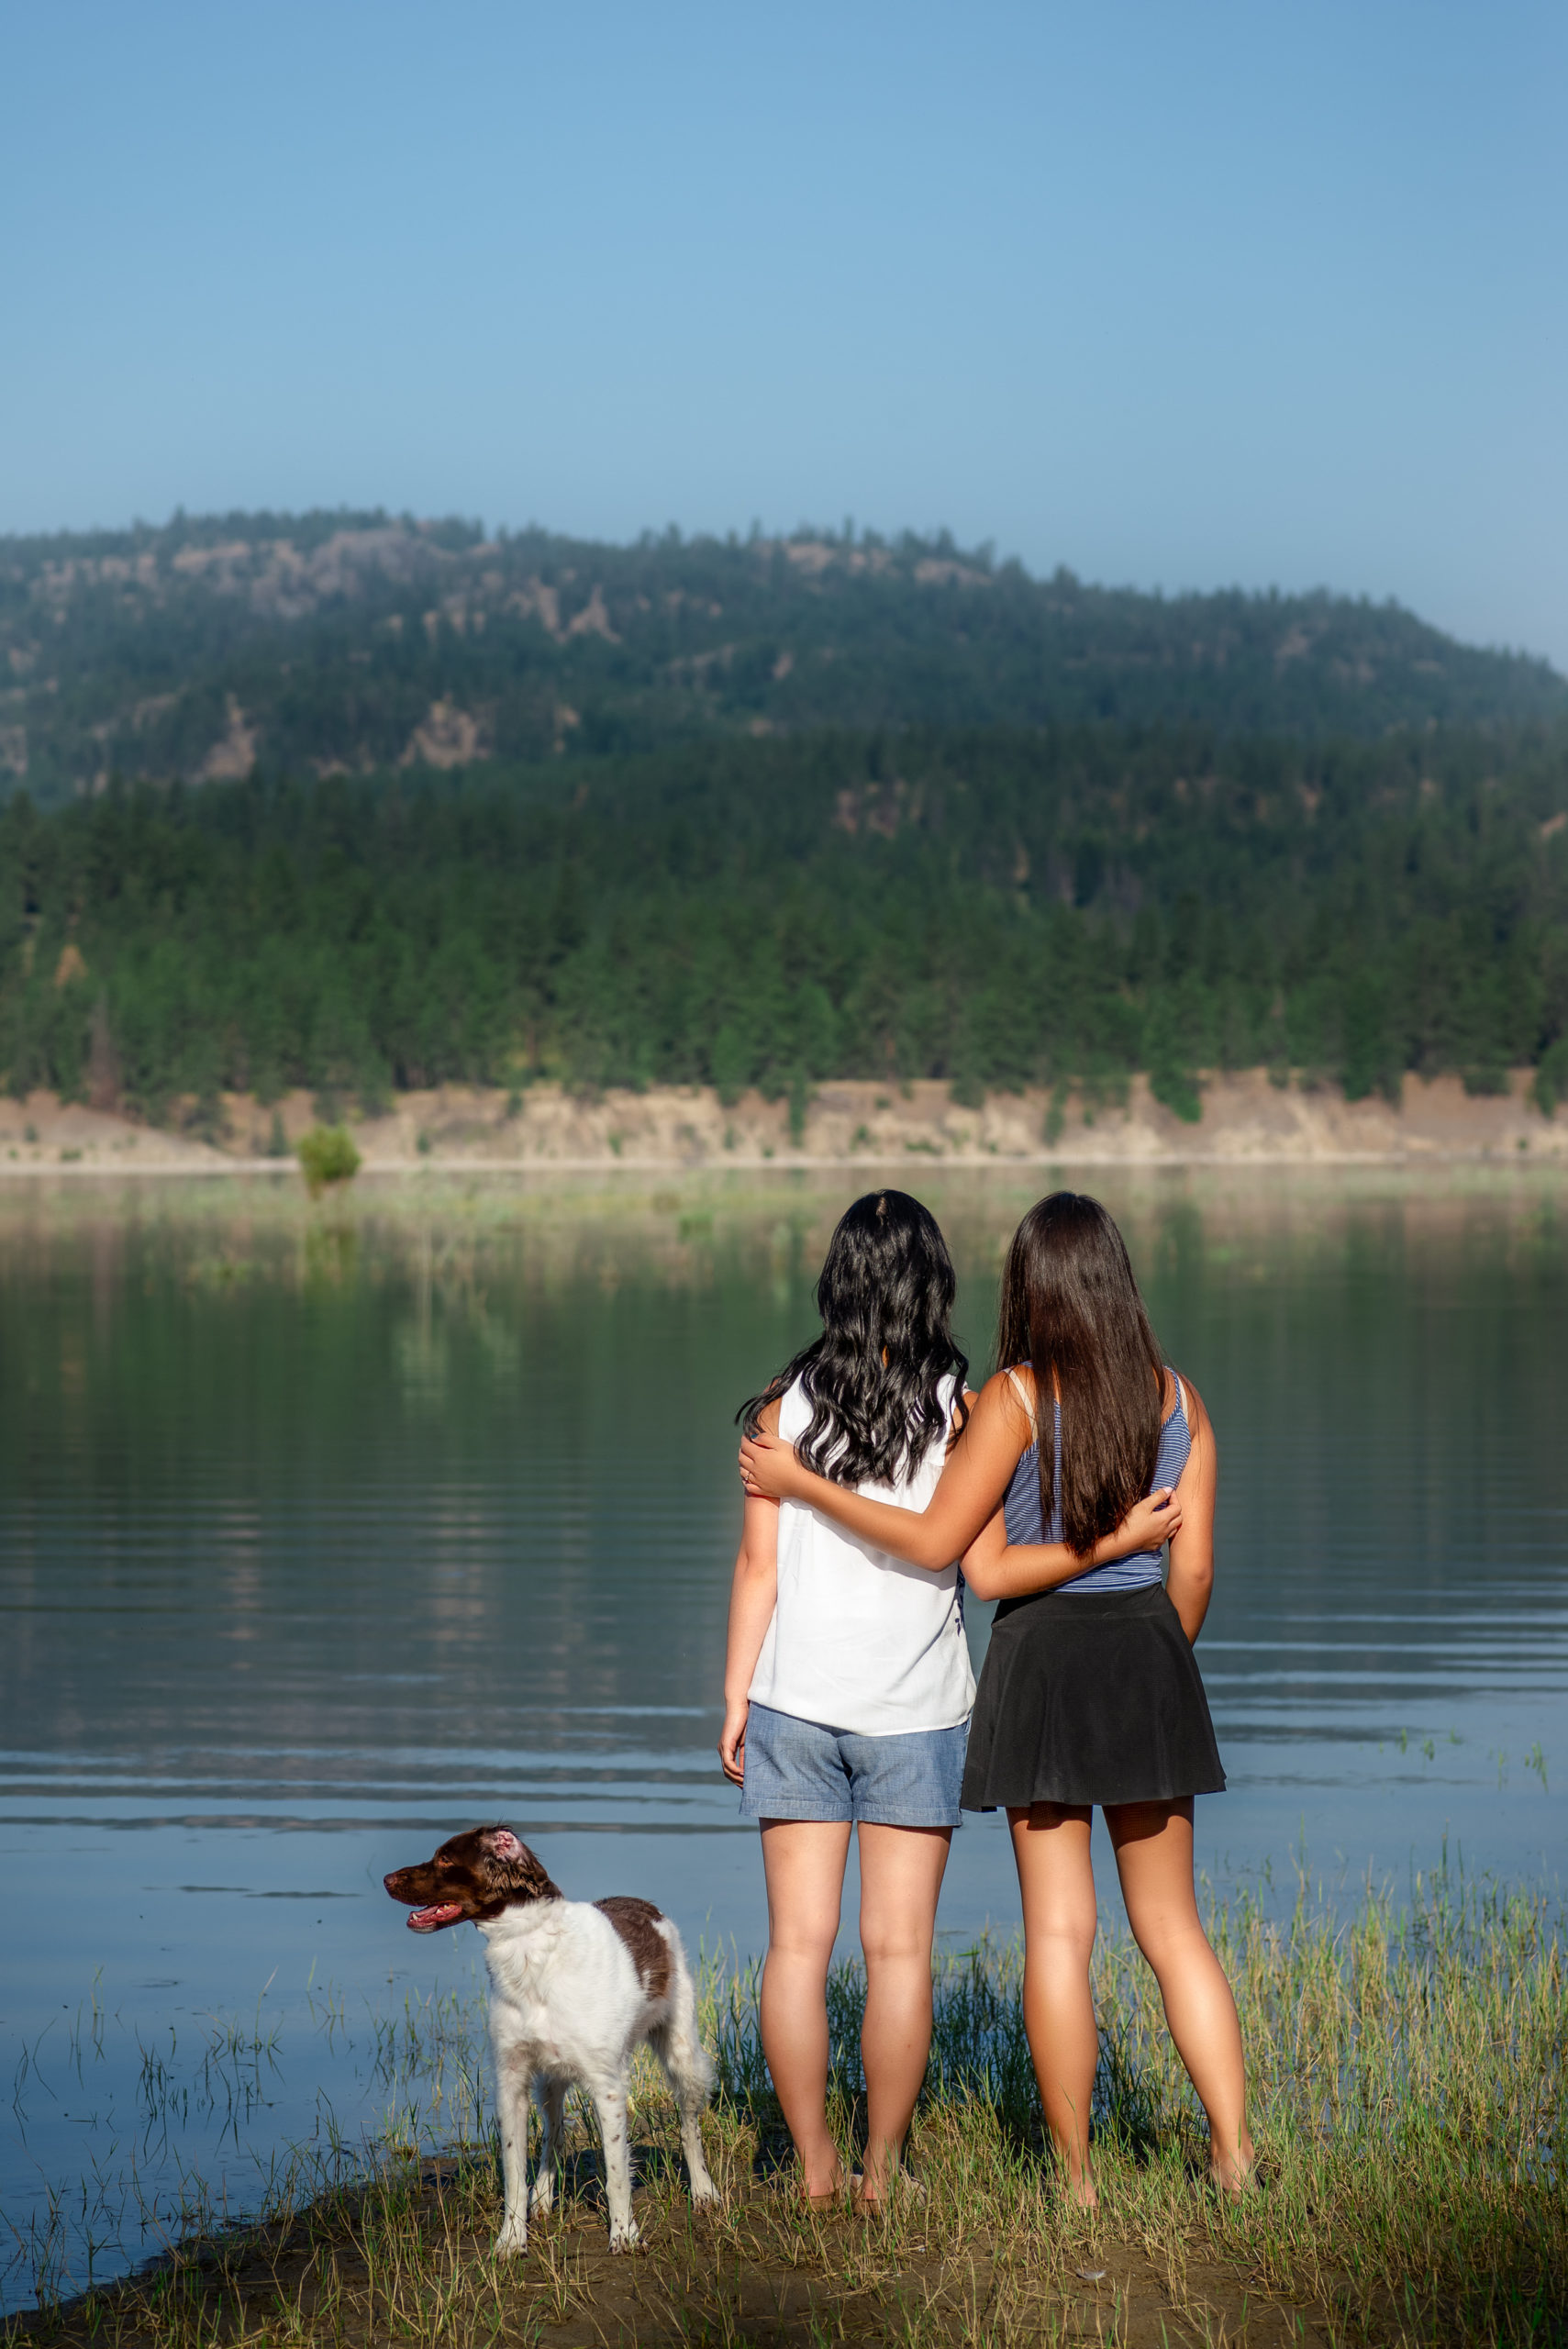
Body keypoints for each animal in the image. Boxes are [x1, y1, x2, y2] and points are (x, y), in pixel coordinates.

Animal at [384, 1822, 717, 2245]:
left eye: (444, 1859)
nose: (385, 1879)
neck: (529, 1951)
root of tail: (649, 1907)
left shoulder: (608, 2085)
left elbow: (616, 2172)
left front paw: (624, 2235)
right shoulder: (511, 2080)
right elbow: (514, 2171)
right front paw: (511, 2240)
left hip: (683, 2056)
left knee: (689, 2127)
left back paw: (704, 2191)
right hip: (550, 2080)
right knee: (554, 2135)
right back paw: (543, 2196)